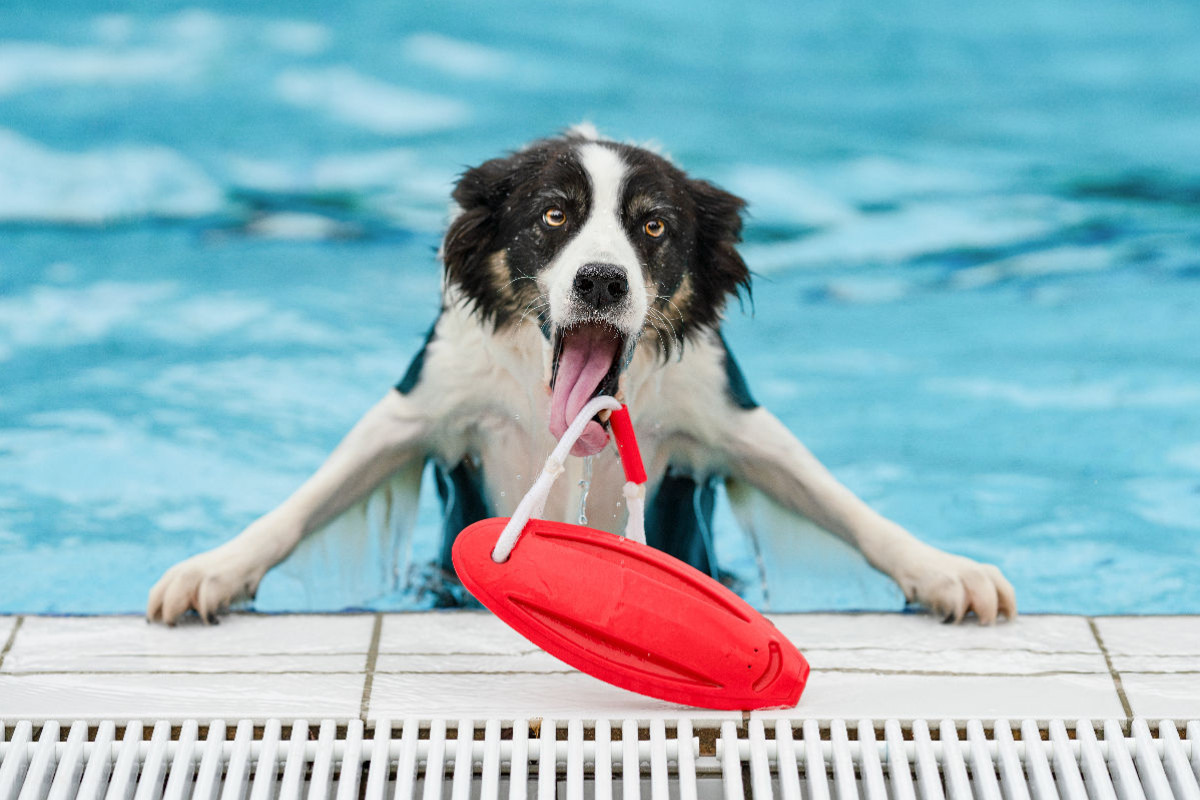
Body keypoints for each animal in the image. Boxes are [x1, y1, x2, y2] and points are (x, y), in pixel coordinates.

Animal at [145, 126, 1017, 623]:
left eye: (654, 226)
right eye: (554, 215)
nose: (601, 281)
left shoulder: (726, 411)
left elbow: (843, 502)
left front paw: (944, 570)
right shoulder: (424, 400)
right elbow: (306, 499)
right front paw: (214, 569)